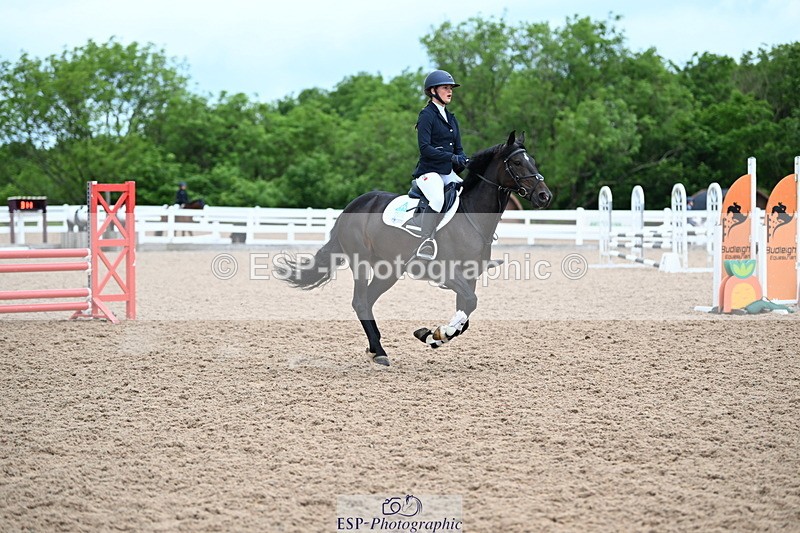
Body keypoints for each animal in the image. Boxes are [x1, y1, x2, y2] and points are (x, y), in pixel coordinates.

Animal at [279, 131, 552, 366]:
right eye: (516, 162)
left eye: (532, 161)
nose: (544, 196)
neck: (472, 216)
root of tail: (353, 206)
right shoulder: (448, 273)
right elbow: (469, 304)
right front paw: (437, 334)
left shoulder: (470, 277)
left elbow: (466, 313)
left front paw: (434, 335)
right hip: (361, 261)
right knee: (360, 302)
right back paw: (380, 352)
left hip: (389, 270)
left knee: (368, 300)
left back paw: (374, 348)